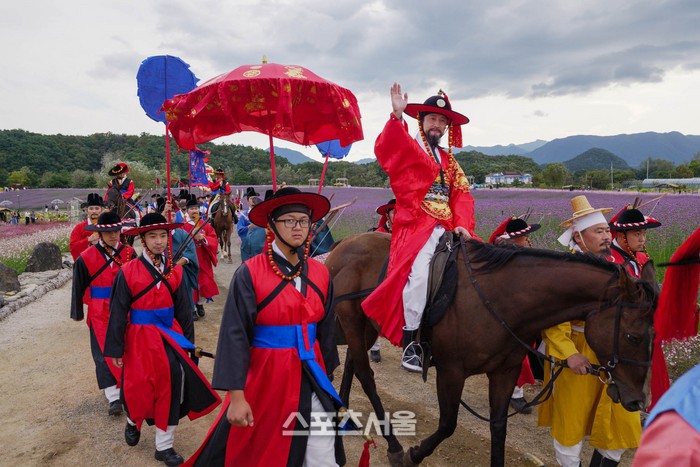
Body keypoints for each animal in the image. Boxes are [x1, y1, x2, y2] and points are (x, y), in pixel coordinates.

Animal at [326, 234, 660, 467]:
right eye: (632, 336)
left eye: (653, 335)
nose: (636, 400)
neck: (502, 299)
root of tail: (345, 244)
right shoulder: (451, 371)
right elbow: (447, 424)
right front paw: (413, 454)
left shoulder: (504, 372)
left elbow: (498, 428)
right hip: (352, 320)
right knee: (366, 375)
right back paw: (393, 446)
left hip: (367, 325)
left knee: (353, 365)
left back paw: (338, 418)